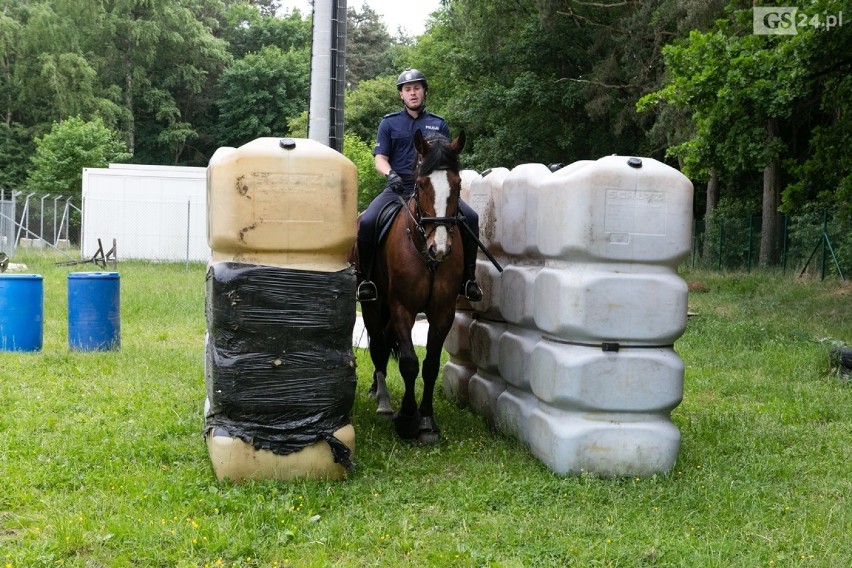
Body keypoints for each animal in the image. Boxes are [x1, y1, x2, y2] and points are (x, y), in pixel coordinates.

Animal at [352, 129, 466, 444]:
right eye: (422, 183)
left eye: (458, 183)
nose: (440, 248)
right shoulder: (402, 307)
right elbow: (408, 362)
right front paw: (406, 418)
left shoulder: (442, 312)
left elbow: (430, 365)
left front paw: (427, 420)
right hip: (372, 303)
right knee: (378, 345)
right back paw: (382, 400)